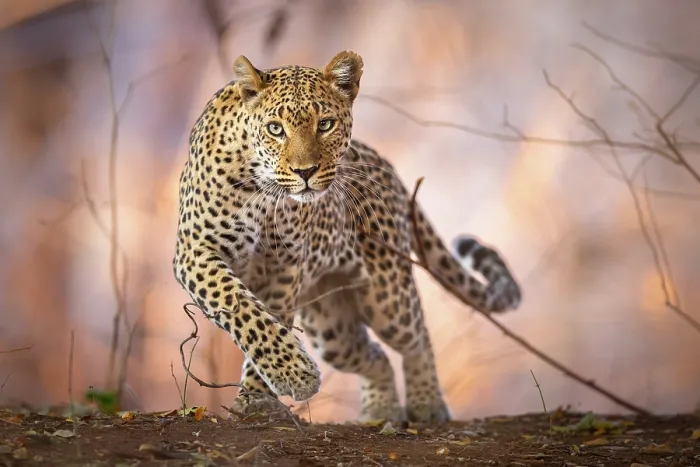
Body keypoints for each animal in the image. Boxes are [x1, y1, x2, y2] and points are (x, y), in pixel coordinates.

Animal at [173, 50, 522, 423]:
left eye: (325, 124)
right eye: (275, 129)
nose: (306, 171)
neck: (261, 188)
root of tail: (387, 167)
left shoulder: (284, 265)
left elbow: (271, 317)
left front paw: (261, 393)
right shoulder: (196, 250)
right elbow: (243, 309)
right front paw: (291, 376)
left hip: (386, 297)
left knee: (416, 336)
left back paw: (426, 403)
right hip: (329, 327)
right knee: (374, 354)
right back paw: (380, 409)